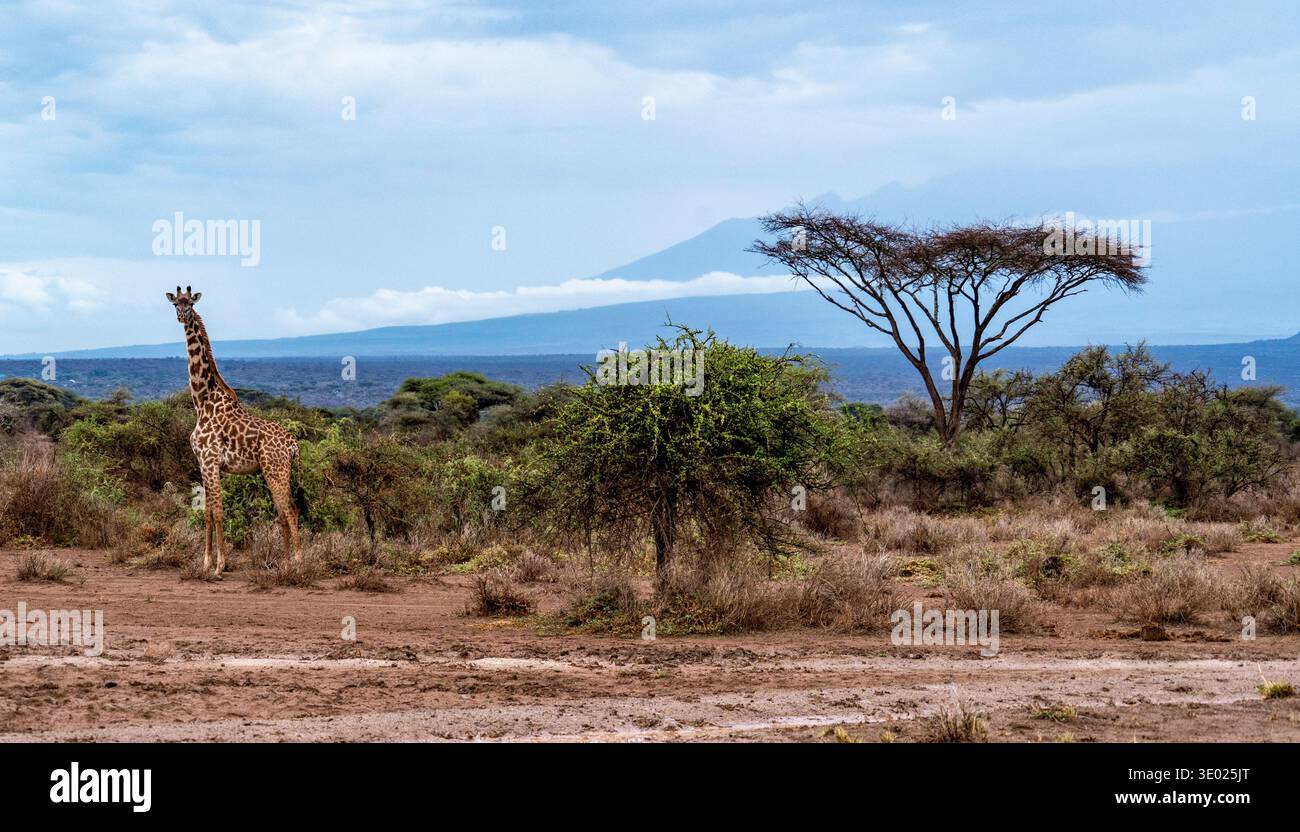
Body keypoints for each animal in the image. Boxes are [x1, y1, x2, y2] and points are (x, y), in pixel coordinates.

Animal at [167, 286, 301, 577]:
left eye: (190, 304)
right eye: (175, 304)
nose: (181, 316)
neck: (202, 401)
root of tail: (293, 444)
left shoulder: (210, 461)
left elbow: (217, 512)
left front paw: (220, 565)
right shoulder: (203, 463)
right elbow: (207, 513)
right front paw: (205, 563)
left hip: (276, 470)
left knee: (290, 511)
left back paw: (298, 563)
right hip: (272, 471)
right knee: (282, 513)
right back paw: (285, 563)